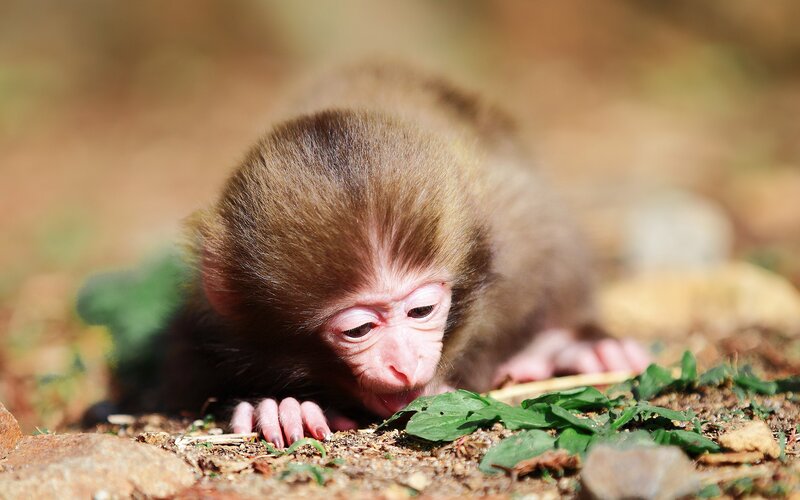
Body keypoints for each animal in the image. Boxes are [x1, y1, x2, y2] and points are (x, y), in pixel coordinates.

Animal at [161, 63, 650, 448]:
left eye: (421, 311)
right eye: (358, 330)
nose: (404, 364)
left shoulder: (517, 230)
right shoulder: (208, 314)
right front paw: (285, 406)